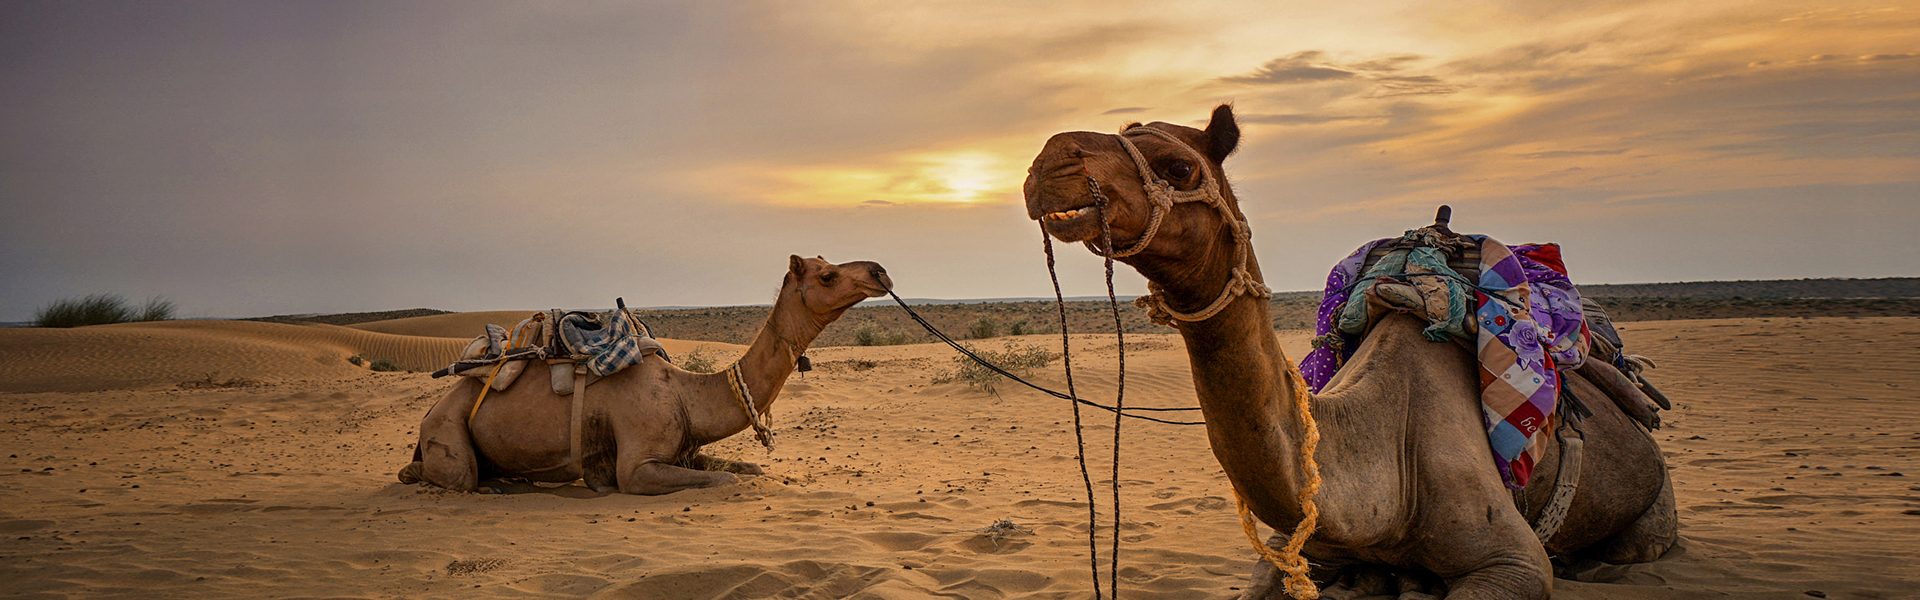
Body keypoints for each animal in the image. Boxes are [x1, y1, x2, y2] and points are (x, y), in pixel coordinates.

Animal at [401, 255, 894, 496]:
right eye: (827, 276)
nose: (881, 272)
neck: (685, 393)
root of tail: (430, 411)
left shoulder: (686, 452)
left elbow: (748, 469)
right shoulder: (638, 467)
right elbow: (729, 481)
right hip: (447, 430)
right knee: (449, 474)